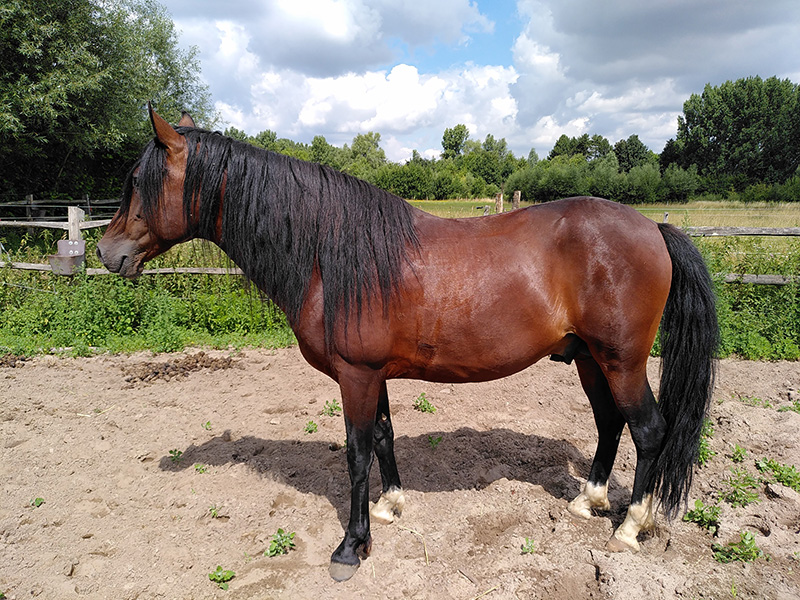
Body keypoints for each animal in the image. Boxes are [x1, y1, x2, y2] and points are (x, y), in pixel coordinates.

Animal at [97, 106, 718, 582]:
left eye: (138, 182)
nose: (107, 253)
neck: (330, 254)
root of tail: (652, 228)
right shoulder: (373, 373)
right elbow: (383, 437)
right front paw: (391, 506)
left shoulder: (356, 374)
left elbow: (355, 451)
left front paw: (351, 547)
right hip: (590, 359)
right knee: (610, 423)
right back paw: (589, 501)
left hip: (622, 361)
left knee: (648, 429)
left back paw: (630, 527)